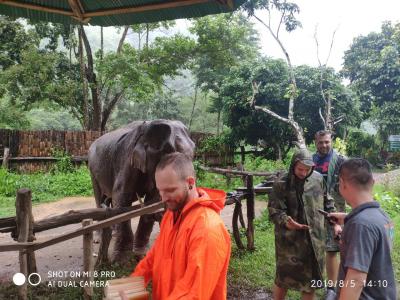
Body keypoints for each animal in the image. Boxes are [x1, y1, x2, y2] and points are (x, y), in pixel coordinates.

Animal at [88, 119, 195, 264]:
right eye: (169, 154)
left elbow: (151, 200)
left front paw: (141, 254)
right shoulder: (127, 160)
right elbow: (121, 198)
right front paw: (121, 260)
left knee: (107, 199)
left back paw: (113, 232)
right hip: (92, 170)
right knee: (100, 197)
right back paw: (98, 238)